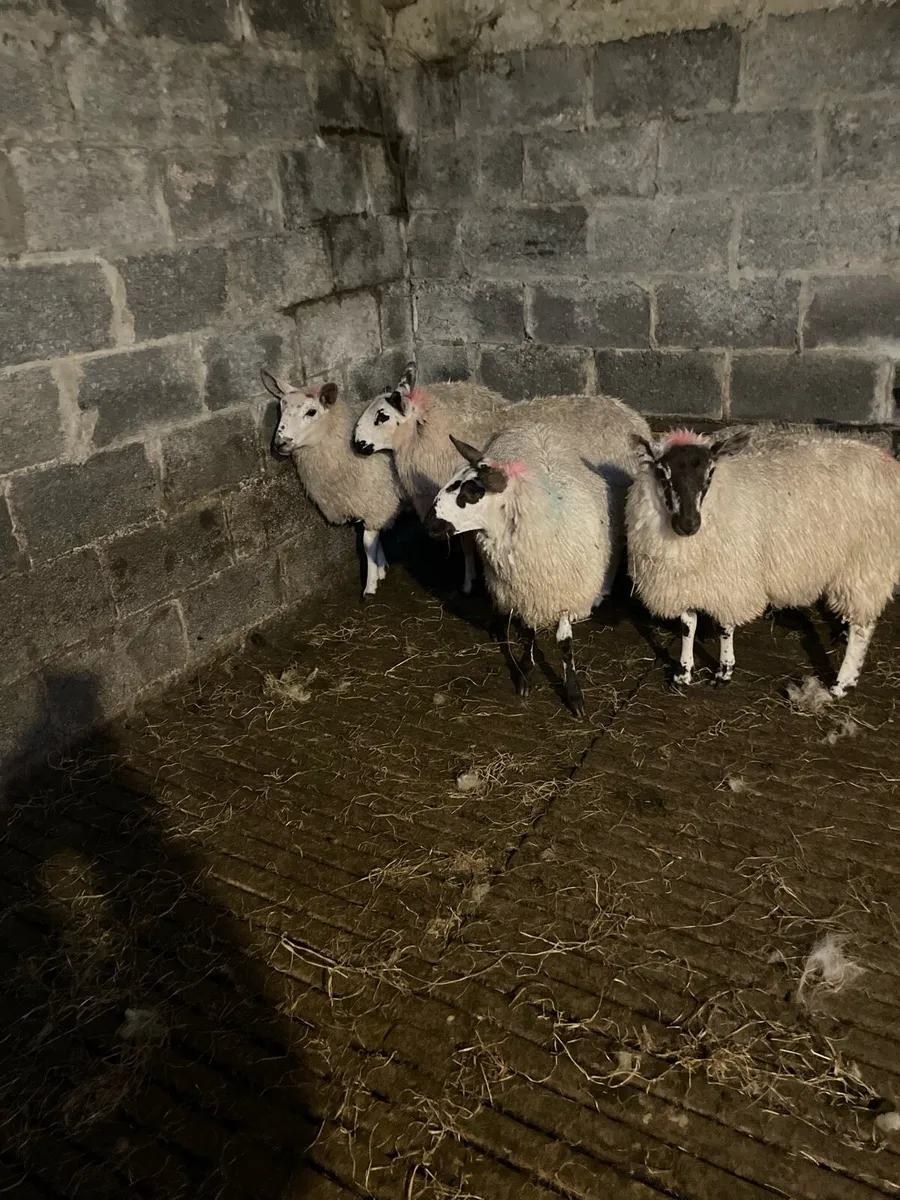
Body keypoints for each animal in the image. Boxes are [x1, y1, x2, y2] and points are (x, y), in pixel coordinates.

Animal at [260, 370, 405, 600]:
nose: (280, 443)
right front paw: (381, 568)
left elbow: (367, 543)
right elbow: (375, 538)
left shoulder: (377, 501)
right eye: (281, 408)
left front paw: (370, 586)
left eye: (311, 412)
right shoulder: (370, 504)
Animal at [424, 397, 650, 716]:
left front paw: (574, 694)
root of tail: (533, 426)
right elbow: (529, 634)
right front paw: (525, 676)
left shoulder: (562, 589)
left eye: (471, 492)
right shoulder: (525, 589)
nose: (428, 523)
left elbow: (564, 644)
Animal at [627, 425, 900, 696]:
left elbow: (724, 627)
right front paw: (683, 674)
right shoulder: (683, 582)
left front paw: (724, 672)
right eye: (662, 473)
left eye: (710, 473)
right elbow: (688, 625)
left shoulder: (731, 578)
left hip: (866, 561)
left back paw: (841, 684)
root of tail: (886, 462)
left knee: (863, 627)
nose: (688, 525)